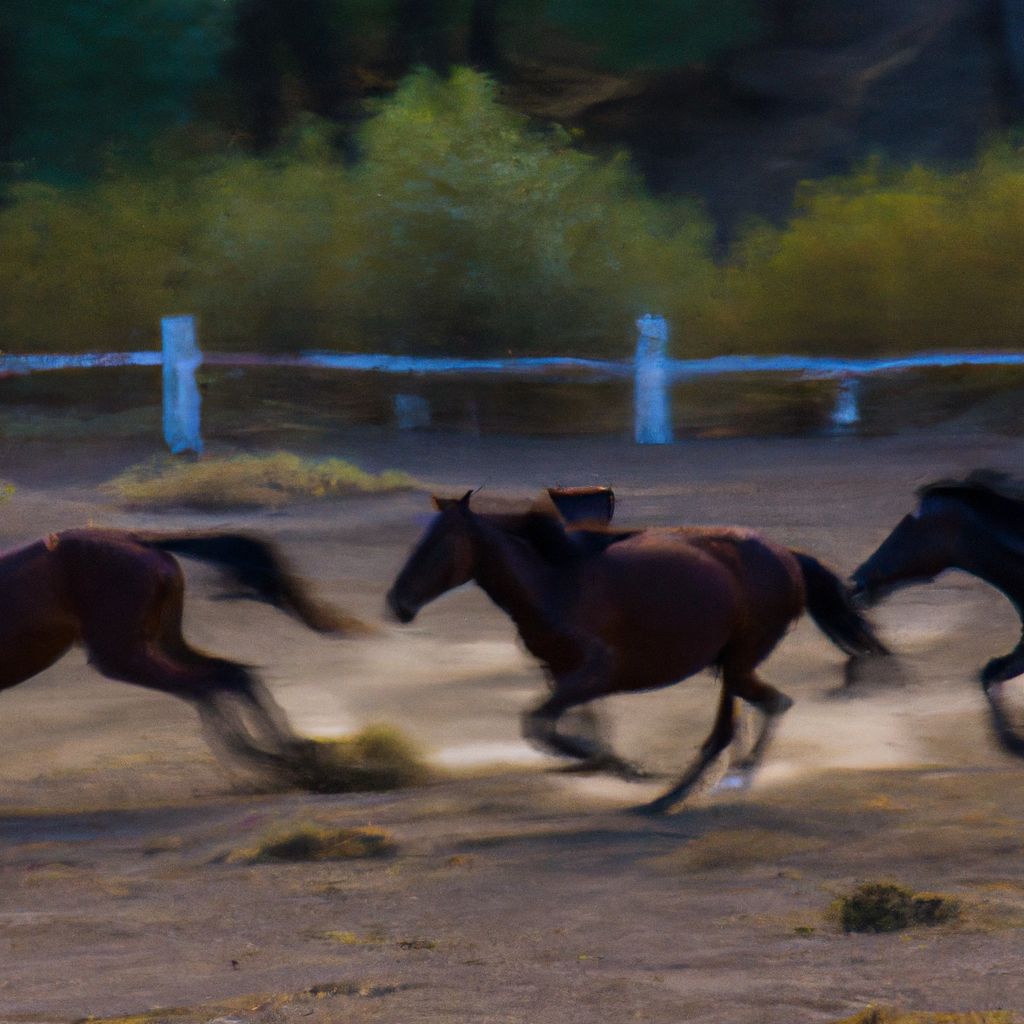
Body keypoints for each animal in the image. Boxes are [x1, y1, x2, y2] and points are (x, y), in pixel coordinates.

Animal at [0, 528, 360, 770]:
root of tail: (137, 541)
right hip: (162, 644)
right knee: (232, 675)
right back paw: (290, 752)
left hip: (124, 655)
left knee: (207, 686)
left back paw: (266, 758)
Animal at [387, 491, 884, 811]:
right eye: (416, 543)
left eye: (437, 546)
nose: (397, 603)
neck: (553, 583)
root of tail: (787, 556)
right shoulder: (562, 673)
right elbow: (577, 725)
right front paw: (609, 764)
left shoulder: (596, 672)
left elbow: (539, 725)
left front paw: (615, 766)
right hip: (730, 662)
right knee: (729, 726)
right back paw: (671, 796)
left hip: (742, 659)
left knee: (772, 705)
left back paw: (728, 780)